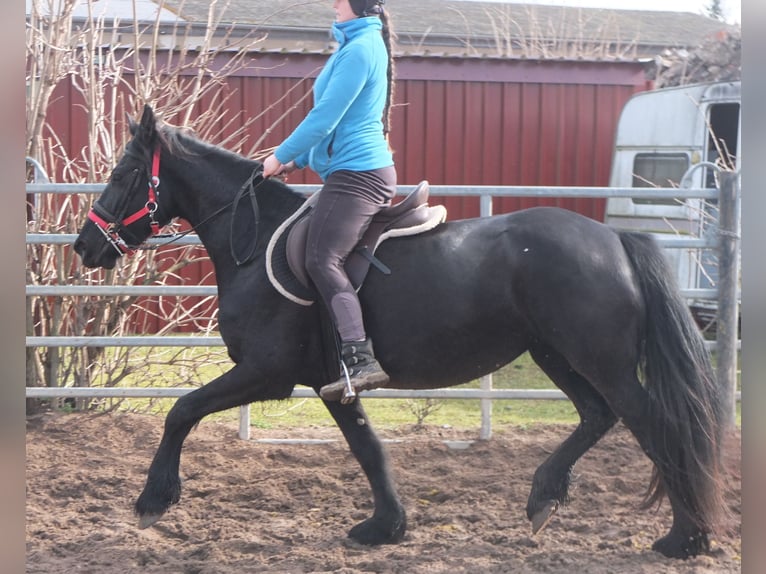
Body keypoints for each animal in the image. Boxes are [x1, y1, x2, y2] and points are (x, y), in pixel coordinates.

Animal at [72, 106, 728, 560]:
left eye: (126, 172)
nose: (84, 245)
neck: (254, 240)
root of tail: (613, 239)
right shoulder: (331, 383)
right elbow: (369, 449)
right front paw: (385, 527)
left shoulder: (265, 372)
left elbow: (180, 411)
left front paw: (154, 500)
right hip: (556, 355)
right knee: (598, 416)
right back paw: (545, 496)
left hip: (600, 360)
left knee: (657, 428)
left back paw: (685, 538)